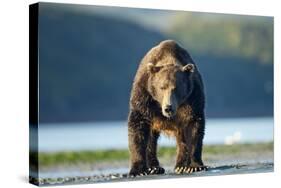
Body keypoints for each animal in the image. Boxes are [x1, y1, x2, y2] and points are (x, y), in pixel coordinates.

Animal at [127, 39, 206, 176]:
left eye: (176, 88)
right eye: (162, 87)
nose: (168, 108)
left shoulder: (192, 98)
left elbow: (194, 128)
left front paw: (194, 166)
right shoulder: (145, 95)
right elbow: (138, 127)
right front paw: (138, 170)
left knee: (181, 139)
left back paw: (181, 166)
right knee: (151, 140)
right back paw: (154, 167)